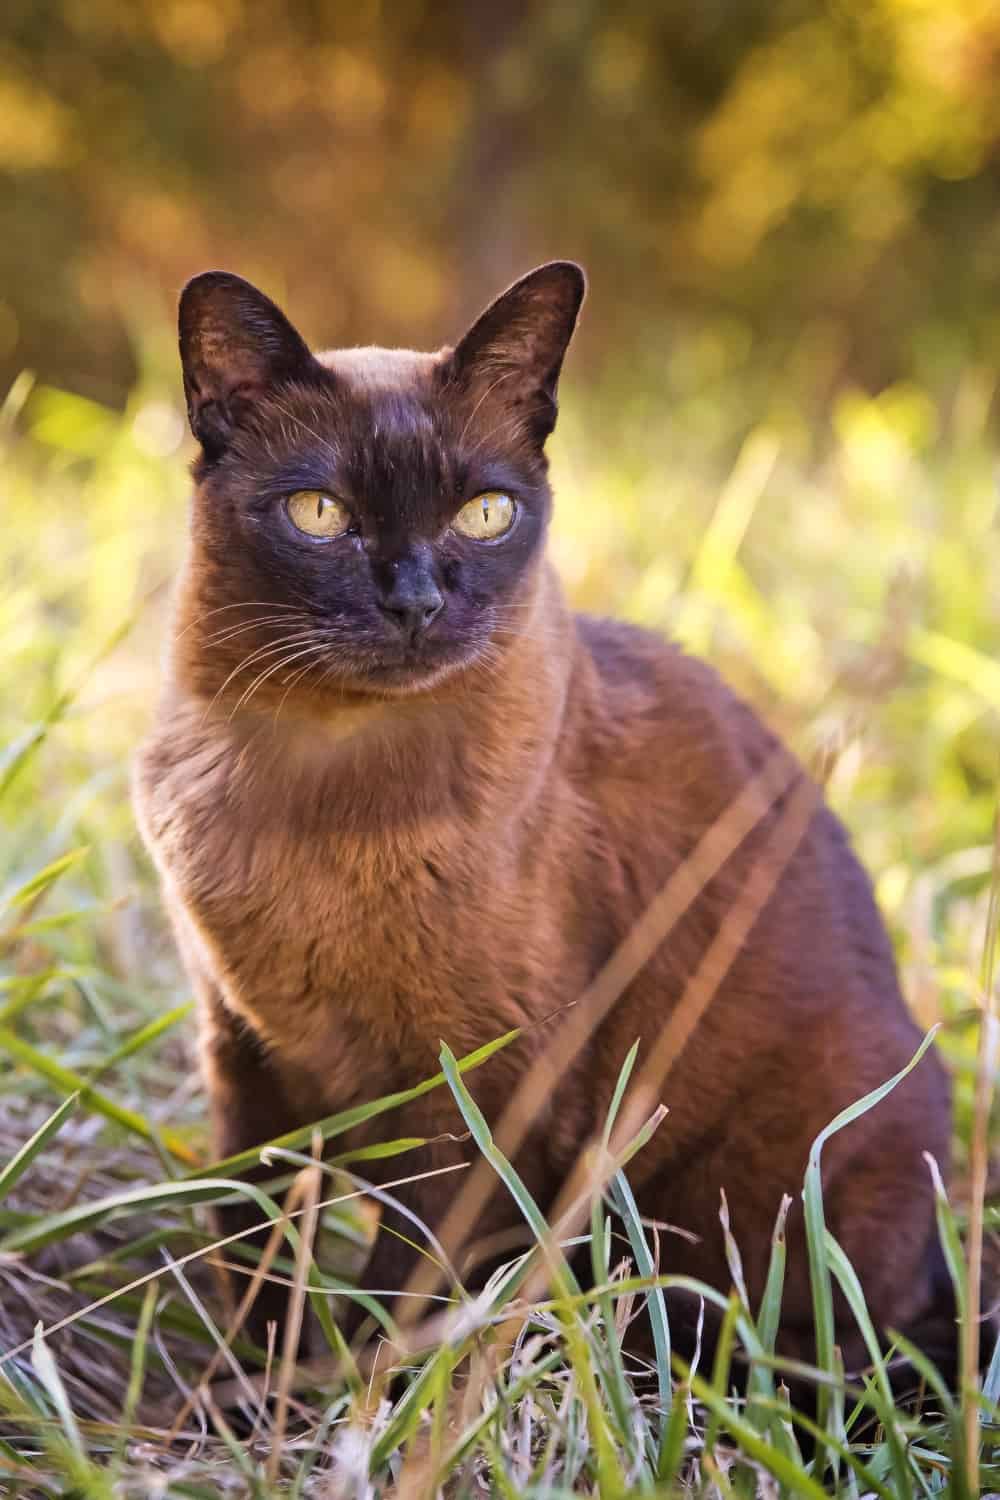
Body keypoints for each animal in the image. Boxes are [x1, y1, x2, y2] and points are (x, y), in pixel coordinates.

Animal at [132, 258, 953, 1374]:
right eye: (318, 513)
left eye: (485, 514)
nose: (416, 603)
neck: (311, 778)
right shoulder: (243, 1053)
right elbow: (249, 1246)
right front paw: (246, 1393)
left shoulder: (483, 1093)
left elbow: (397, 1308)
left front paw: (336, 1400)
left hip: (745, 1202)